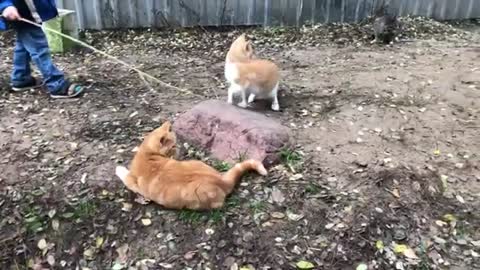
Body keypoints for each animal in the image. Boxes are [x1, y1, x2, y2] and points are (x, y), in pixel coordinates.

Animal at [115, 121, 268, 211]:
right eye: (174, 145)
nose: (180, 149)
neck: (148, 153)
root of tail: (221, 179)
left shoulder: (132, 182)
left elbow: (122, 173)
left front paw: (119, 168)